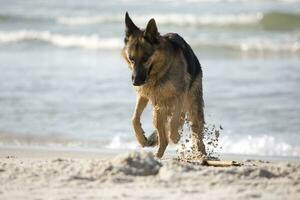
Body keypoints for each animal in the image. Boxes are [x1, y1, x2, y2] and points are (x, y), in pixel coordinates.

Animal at [122, 12, 206, 158]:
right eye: (131, 59)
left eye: (145, 58)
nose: (135, 82)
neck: (161, 71)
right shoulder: (144, 95)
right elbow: (134, 118)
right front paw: (141, 138)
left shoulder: (179, 96)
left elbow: (174, 121)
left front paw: (175, 136)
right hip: (158, 111)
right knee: (163, 138)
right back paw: (157, 155)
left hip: (192, 106)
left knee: (196, 131)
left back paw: (201, 153)